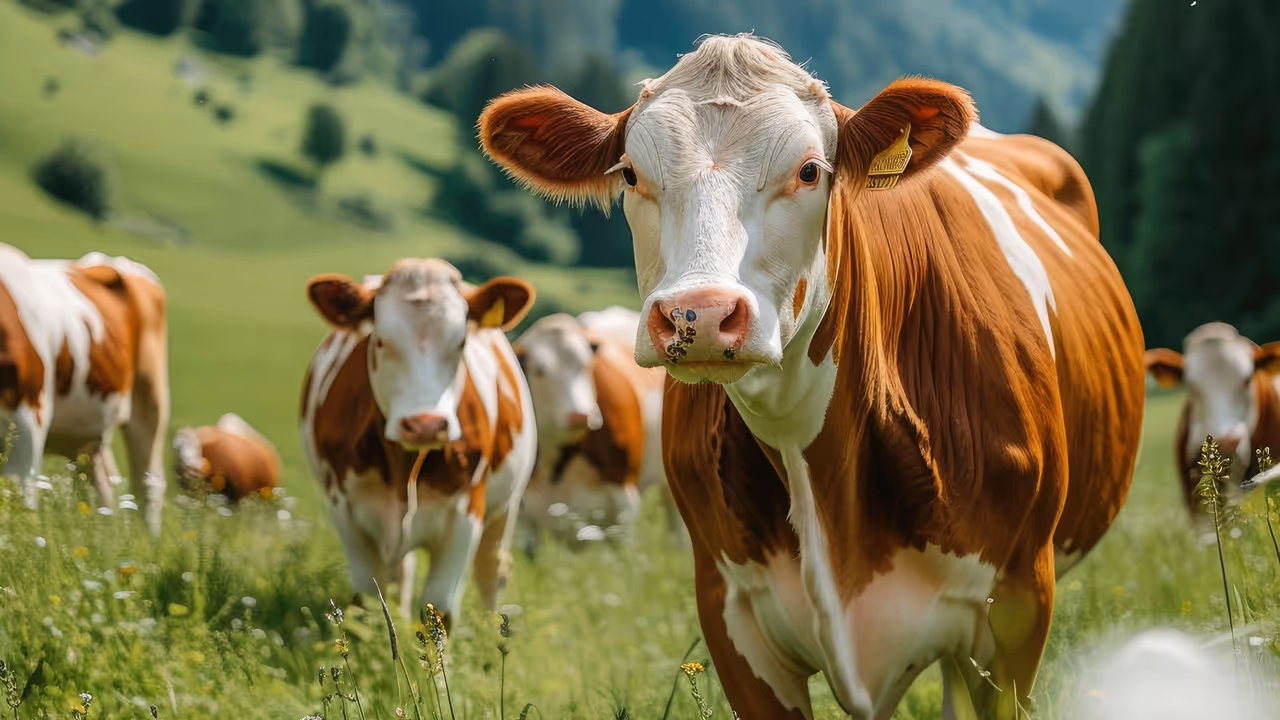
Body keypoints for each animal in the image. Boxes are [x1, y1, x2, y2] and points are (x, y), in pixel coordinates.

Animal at [299, 258, 537, 624]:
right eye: (380, 340)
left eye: (461, 342)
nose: (425, 425)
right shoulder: (346, 510)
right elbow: (366, 602)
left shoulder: (465, 514)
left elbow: (439, 611)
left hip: (506, 505)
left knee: (491, 568)